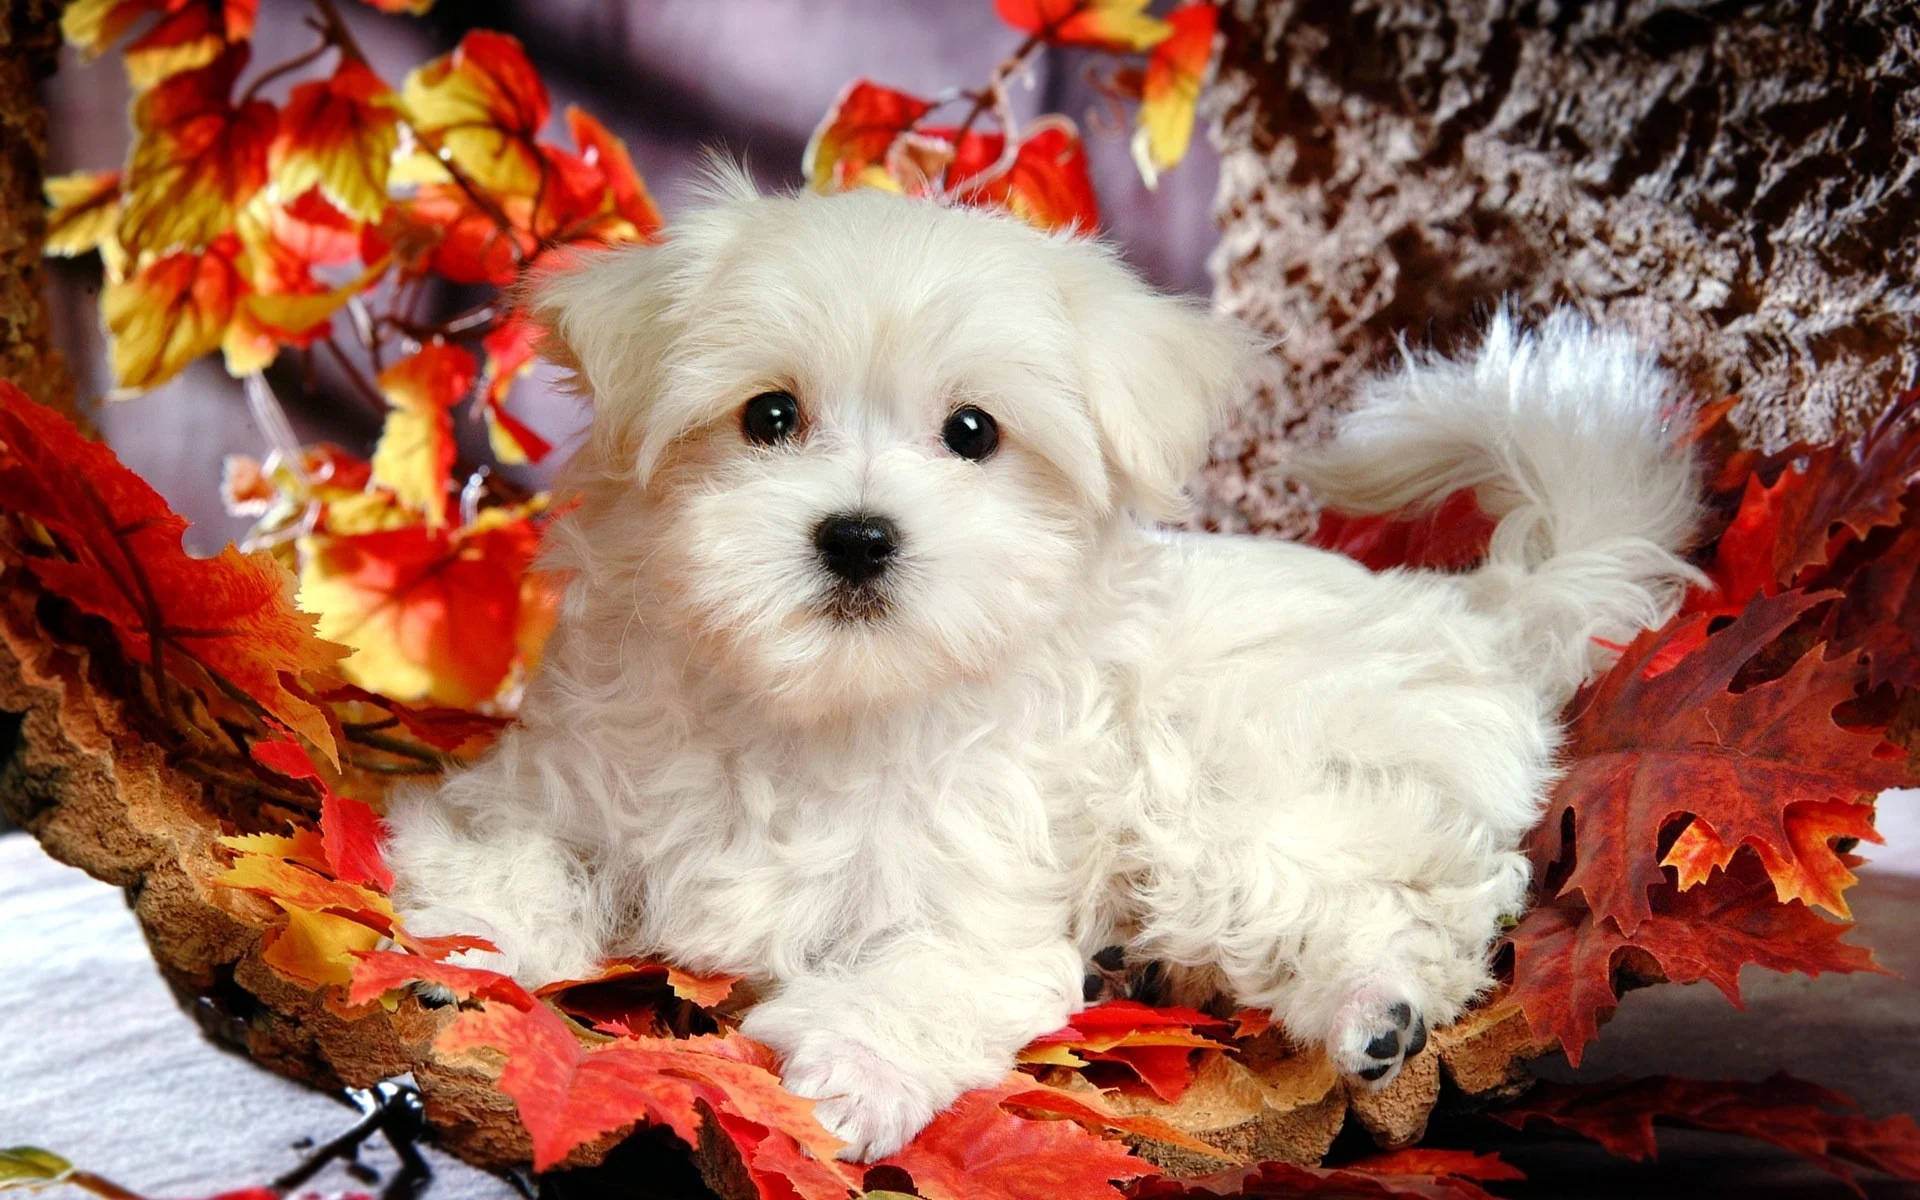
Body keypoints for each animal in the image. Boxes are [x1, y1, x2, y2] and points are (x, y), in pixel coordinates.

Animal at [382, 170, 1704, 1159]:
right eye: (768, 418)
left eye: (974, 433)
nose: (857, 534)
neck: (820, 708)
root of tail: (1479, 612)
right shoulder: (557, 779)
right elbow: (511, 851)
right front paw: (468, 946)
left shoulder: (981, 900)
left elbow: (934, 974)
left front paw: (847, 1070)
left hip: (1238, 802)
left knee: (1439, 887)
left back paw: (1376, 1007)